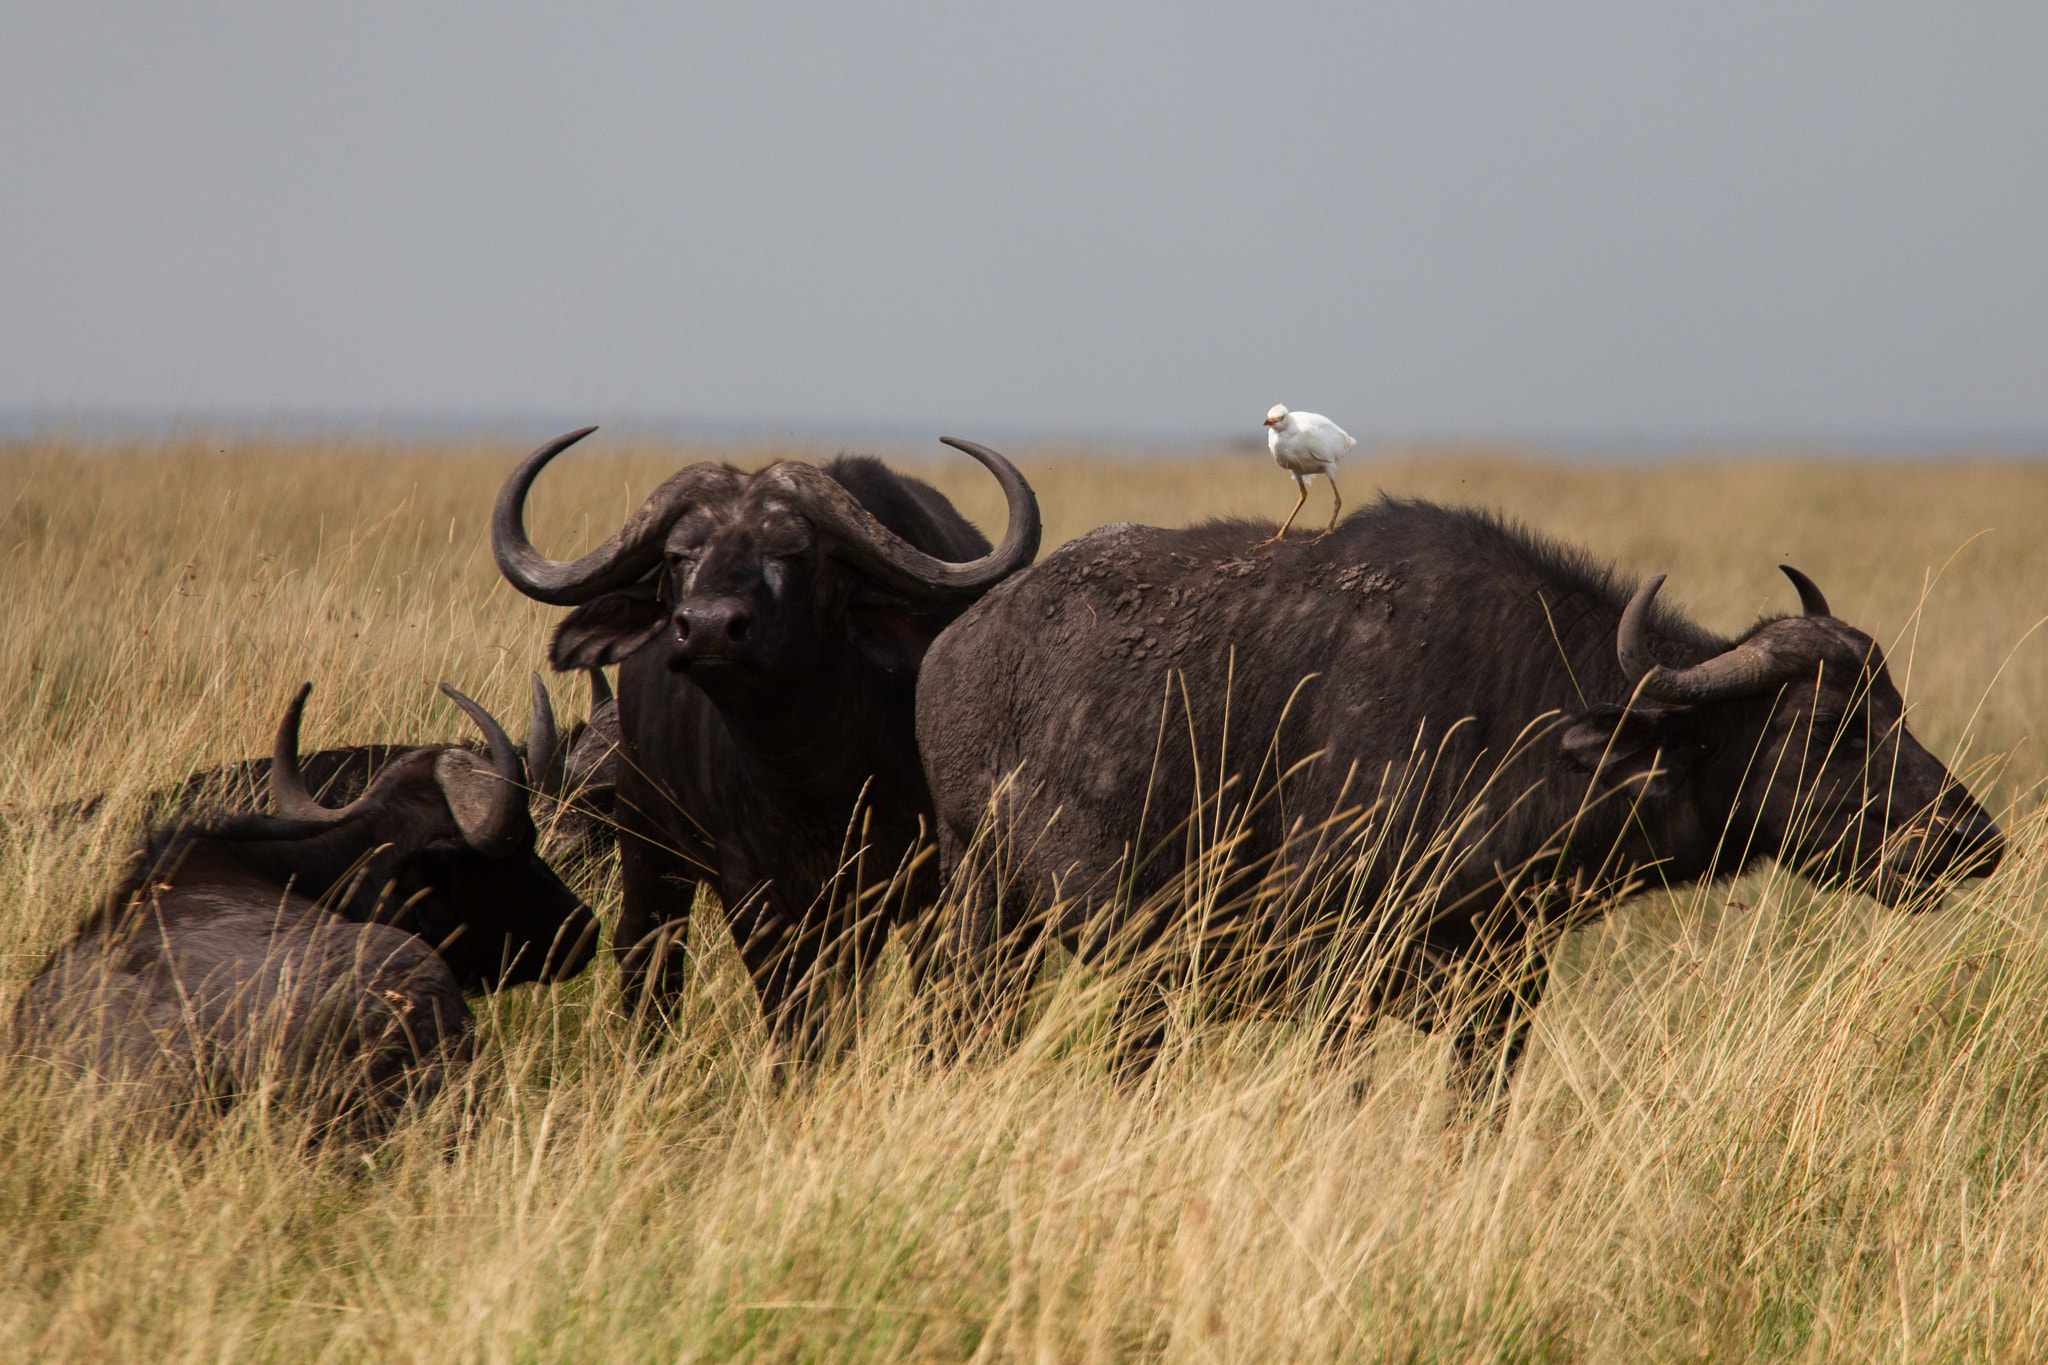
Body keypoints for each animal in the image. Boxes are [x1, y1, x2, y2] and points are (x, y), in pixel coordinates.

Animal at [491, 431, 1040, 1055]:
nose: (707, 627)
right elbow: (790, 1008)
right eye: (679, 556)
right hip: (647, 845)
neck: (814, 774)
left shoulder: (927, 883)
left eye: (794, 553)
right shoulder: (755, 894)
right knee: (647, 953)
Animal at [921, 501, 2007, 1088]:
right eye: (1825, 727)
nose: (1969, 839)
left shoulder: (1504, 997)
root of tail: (961, 642)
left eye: (1895, 708)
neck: (1512, 718)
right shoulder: (1336, 985)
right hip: (991, 923)